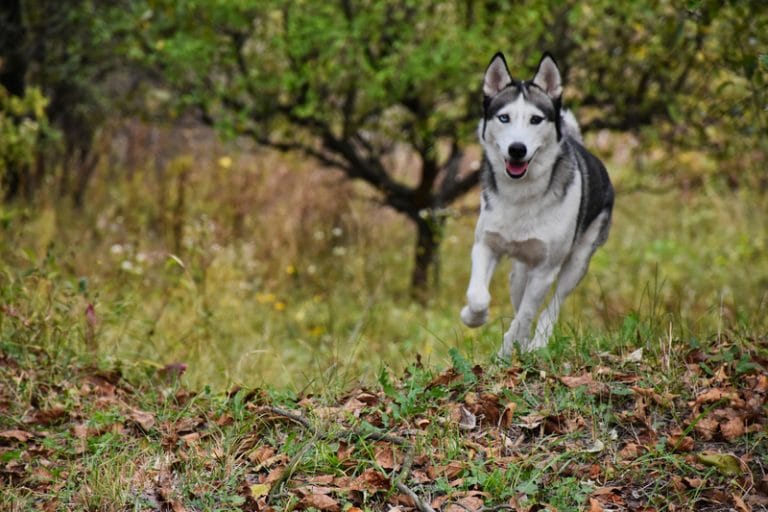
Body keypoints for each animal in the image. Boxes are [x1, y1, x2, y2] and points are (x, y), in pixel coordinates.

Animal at [462, 51, 612, 356]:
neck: (520, 195)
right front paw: (473, 317)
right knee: (520, 297)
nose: (517, 149)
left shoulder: (545, 270)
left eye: (536, 119)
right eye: (504, 117)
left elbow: (527, 314)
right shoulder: (486, 244)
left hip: (577, 261)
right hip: (520, 272)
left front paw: (512, 344)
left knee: (552, 305)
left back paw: (536, 342)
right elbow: (479, 295)